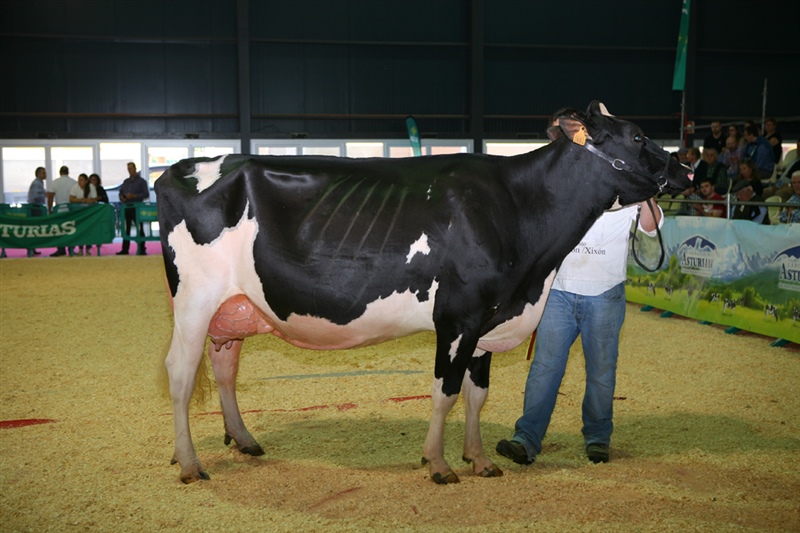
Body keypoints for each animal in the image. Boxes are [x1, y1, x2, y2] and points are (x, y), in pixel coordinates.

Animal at [156, 101, 692, 484]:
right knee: (180, 374)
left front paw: (480, 460)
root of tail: (184, 165)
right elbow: (445, 391)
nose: (686, 170)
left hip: (235, 306)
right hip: (193, 300)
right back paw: (190, 463)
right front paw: (438, 464)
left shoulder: (489, 317)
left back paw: (243, 439)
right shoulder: (459, 316)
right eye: (637, 135)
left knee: (225, 366)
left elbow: (477, 394)